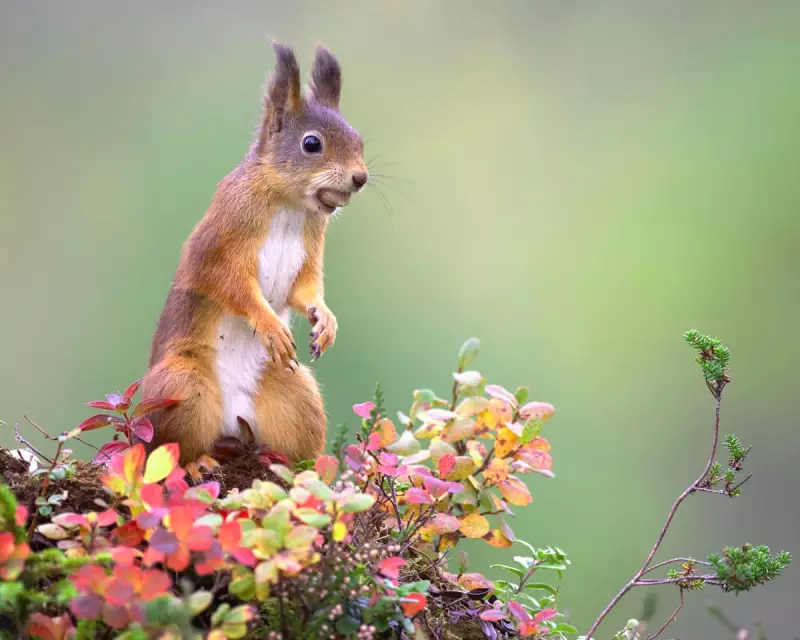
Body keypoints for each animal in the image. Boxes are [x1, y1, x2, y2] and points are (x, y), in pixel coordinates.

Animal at [140, 43, 368, 466]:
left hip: (296, 396)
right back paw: (198, 463)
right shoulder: (221, 239)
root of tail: (231, 424)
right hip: (181, 387)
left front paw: (325, 320)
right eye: (312, 144)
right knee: (168, 449)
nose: (360, 178)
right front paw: (268, 322)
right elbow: (229, 283)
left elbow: (304, 288)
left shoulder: (310, 248)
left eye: (359, 140)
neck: (289, 205)